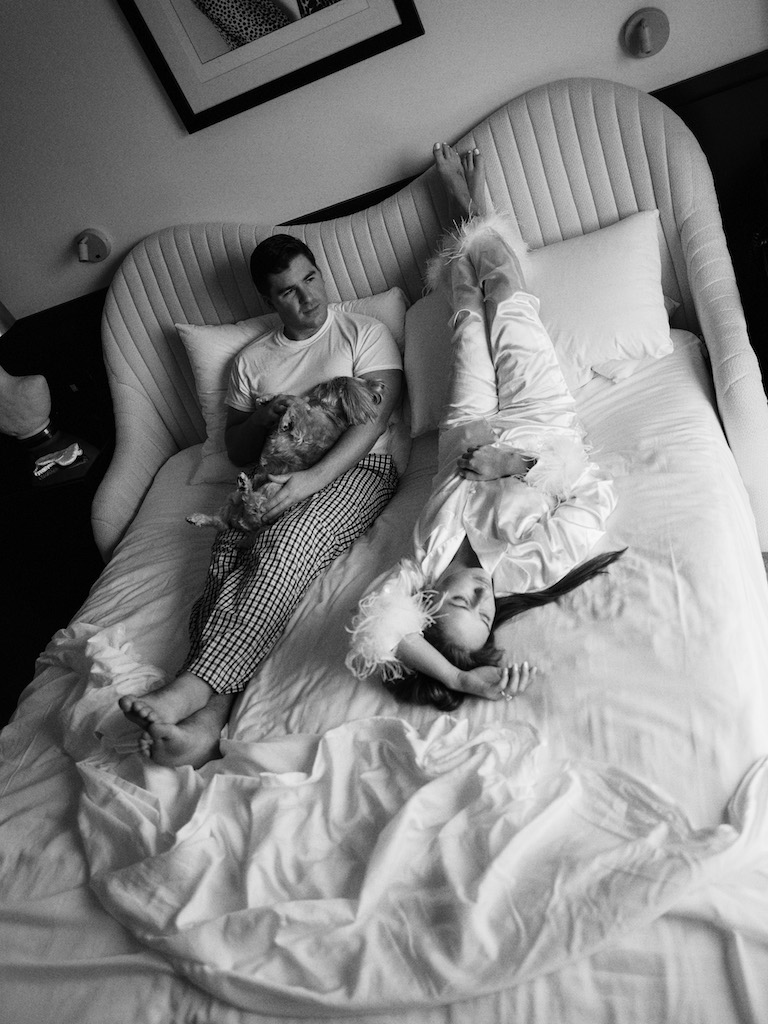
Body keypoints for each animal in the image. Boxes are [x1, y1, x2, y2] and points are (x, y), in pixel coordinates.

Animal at [188, 376, 385, 536]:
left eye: (327, 386)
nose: (319, 384)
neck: (330, 411)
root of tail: (242, 521)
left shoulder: (307, 425)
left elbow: (297, 403)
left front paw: (285, 417)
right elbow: (291, 399)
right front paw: (267, 399)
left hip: (269, 492)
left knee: (249, 503)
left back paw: (245, 486)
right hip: (231, 500)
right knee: (221, 522)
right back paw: (198, 518)